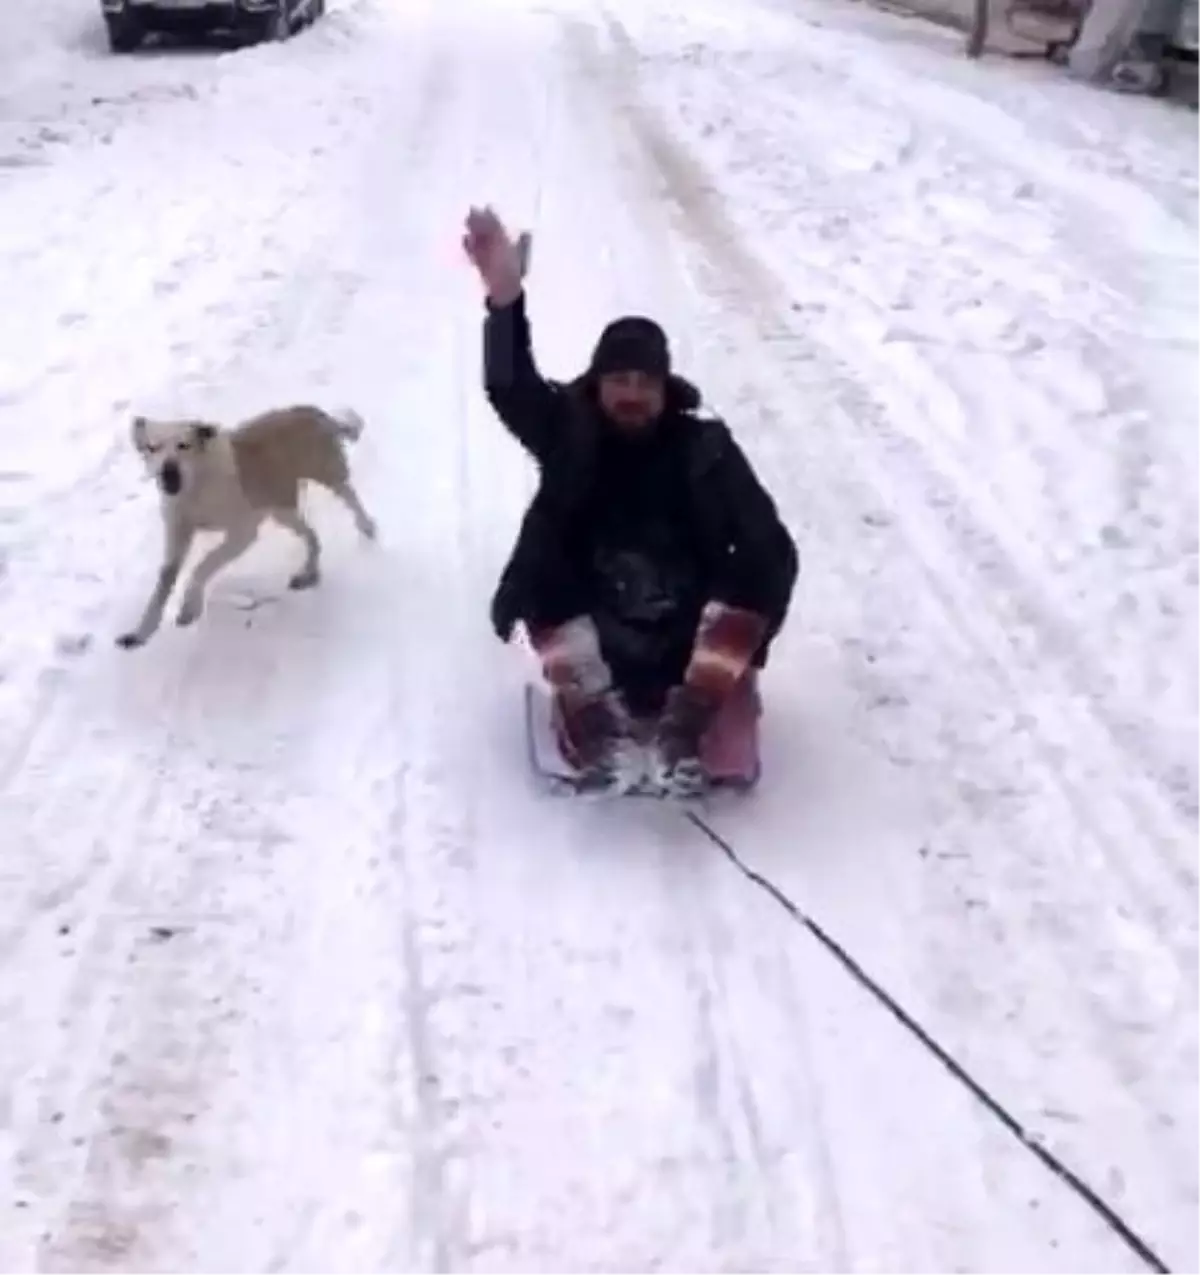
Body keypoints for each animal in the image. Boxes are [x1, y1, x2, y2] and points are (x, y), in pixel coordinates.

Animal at [117, 405, 377, 647]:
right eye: (153, 447)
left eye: (184, 445)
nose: (168, 472)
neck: (196, 488)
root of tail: (311, 410)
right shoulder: (177, 536)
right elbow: (162, 585)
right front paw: (140, 632)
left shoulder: (242, 533)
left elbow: (203, 565)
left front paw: (189, 608)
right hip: (282, 510)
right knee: (312, 536)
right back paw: (309, 573)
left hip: (328, 474)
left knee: (350, 498)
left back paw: (367, 527)